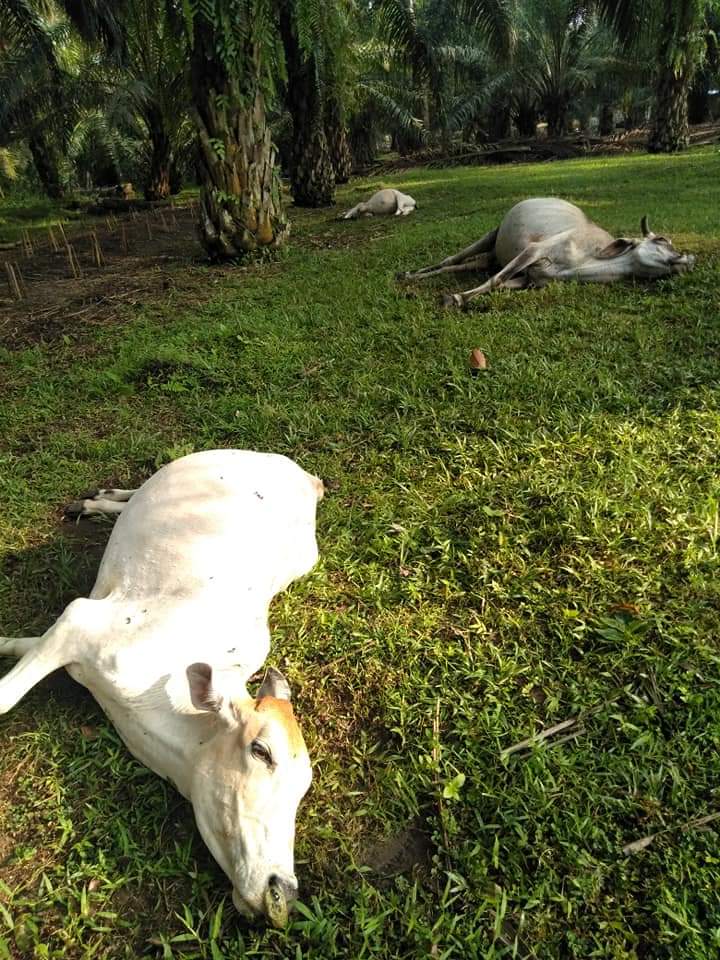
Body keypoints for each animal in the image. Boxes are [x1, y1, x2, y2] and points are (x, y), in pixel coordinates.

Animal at [0, 454, 324, 928]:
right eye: (261, 751)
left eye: (304, 786)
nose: (282, 889)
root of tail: (307, 477)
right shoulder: (81, 620)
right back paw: (93, 501)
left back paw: (94, 501)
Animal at [402, 199, 696, 308]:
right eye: (662, 239)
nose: (689, 259)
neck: (582, 263)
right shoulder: (535, 250)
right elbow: (495, 280)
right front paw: (456, 298)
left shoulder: (528, 279)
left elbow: (499, 284)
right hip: (490, 235)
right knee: (452, 259)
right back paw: (409, 275)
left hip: (490, 257)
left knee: (465, 265)